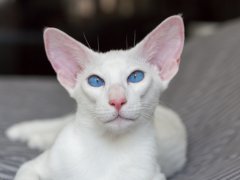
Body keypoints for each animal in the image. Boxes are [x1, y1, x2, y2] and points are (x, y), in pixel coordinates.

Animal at [5, 15, 186, 180]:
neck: (108, 148)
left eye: (136, 77)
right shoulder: (31, 166)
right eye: (95, 81)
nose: (117, 100)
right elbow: (25, 174)